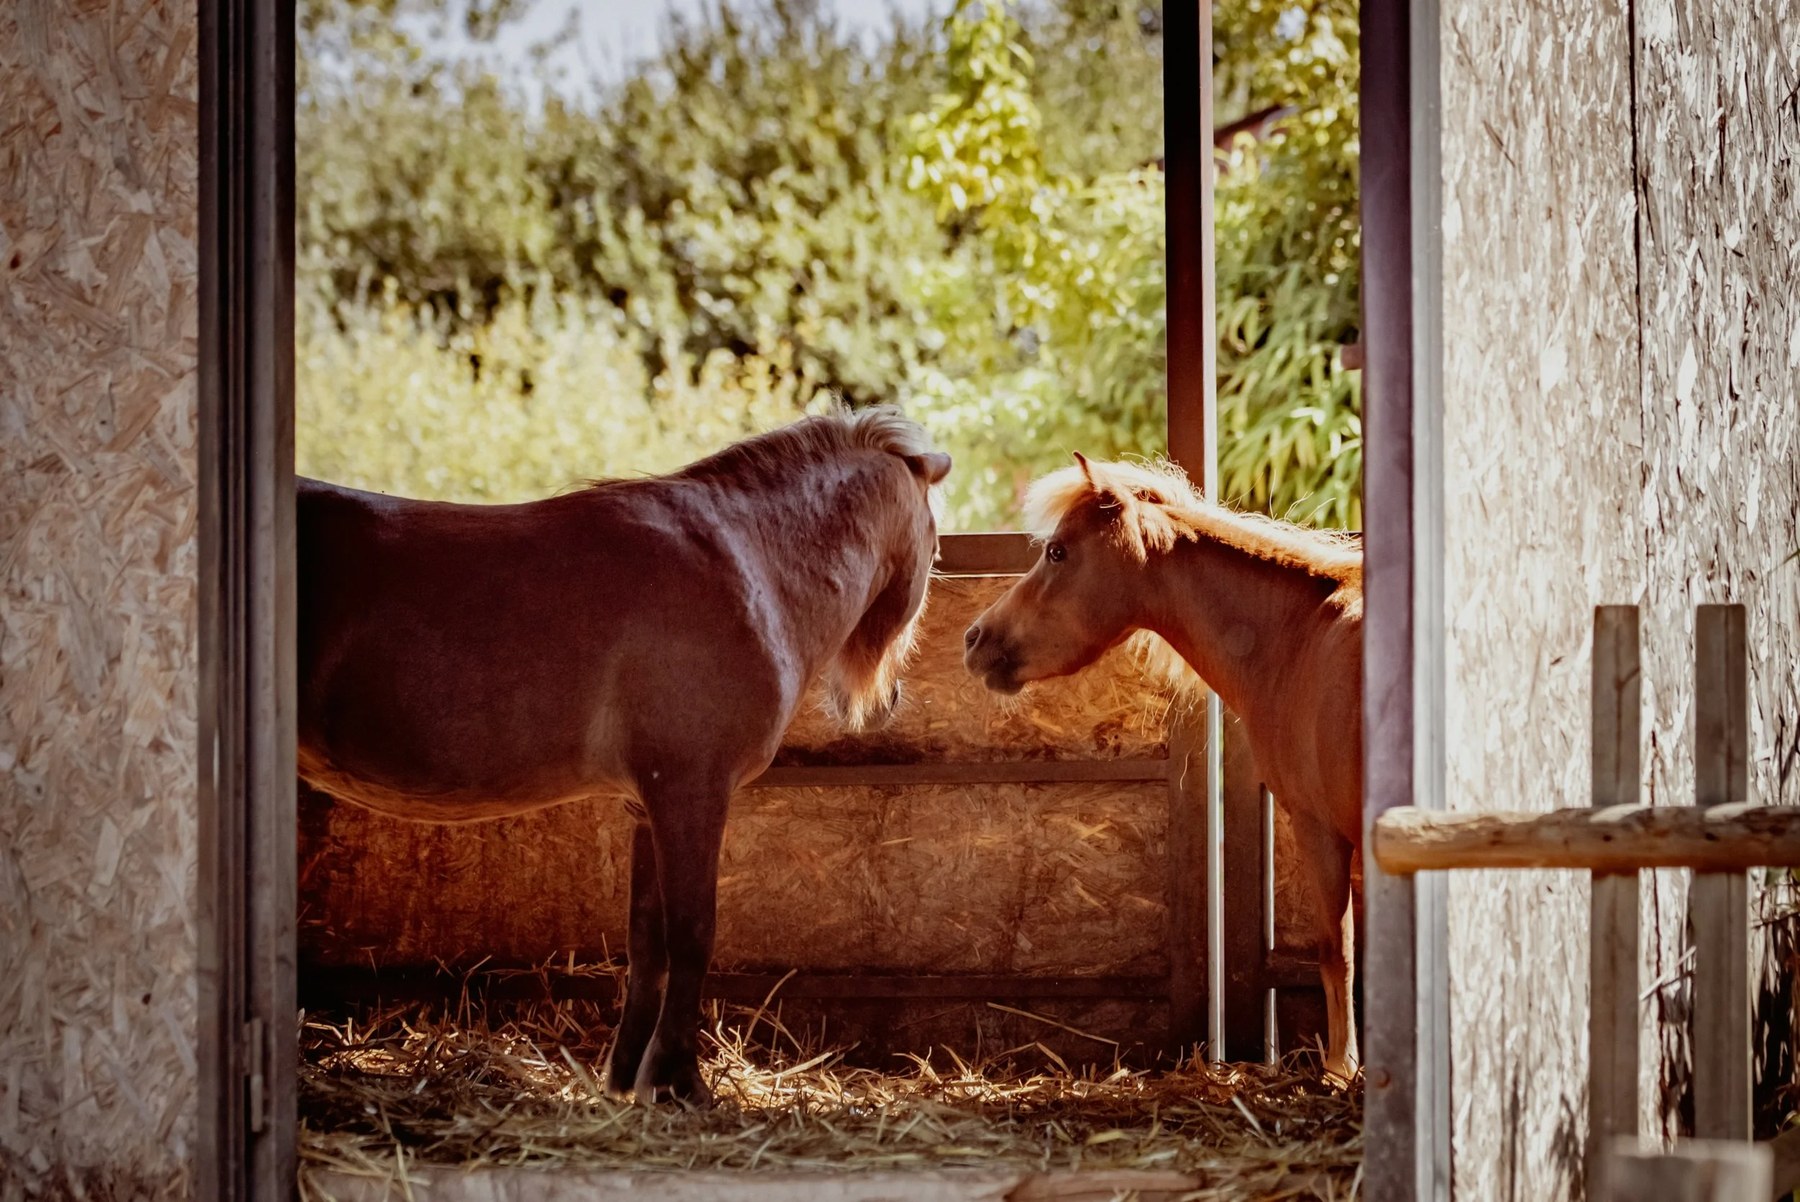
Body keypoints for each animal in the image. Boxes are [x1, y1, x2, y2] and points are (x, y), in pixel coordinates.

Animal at [296, 408, 951, 1104]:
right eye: (937, 546)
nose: (886, 702)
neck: (749, 566)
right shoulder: (691, 793)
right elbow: (692, 934)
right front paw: (678, 1080)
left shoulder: (647, 805)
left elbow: (648, 944)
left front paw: (627, 1073)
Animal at [962, 453, 1364, 1079]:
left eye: (1057, 551)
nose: (974, 639)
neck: (1301, 635)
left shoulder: (1322, 830)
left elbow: (1337, 952)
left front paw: (1342, 1069)